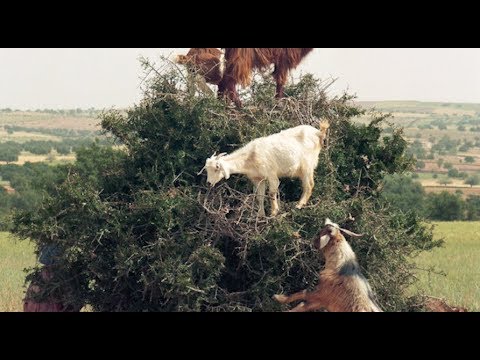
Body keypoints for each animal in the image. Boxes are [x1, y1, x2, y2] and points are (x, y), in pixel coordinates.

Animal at [199, 122, 330, 215]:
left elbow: (271, 193)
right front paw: (260, 215)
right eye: (206, 169)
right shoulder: (258, 179)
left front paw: (273, 212)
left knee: (309, 185)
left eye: (216, 168)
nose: (209, 183)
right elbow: (260, 197)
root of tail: (318, 133)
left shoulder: (271, 174)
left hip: (307, 165)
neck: (251, 157)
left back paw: (299, 205)